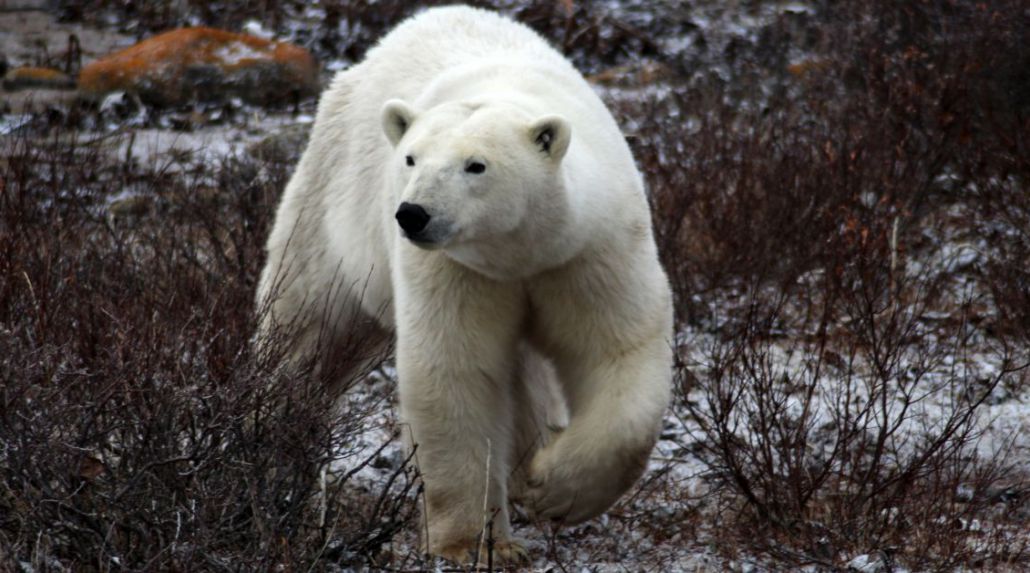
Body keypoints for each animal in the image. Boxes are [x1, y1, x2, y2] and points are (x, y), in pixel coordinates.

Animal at [256, 4, 671, 564]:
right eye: (411, 158)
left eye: (476, 165)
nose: (413, 213)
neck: (517, 255)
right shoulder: (455, 270)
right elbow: (456, 370)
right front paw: (475, 543)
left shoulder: (588, 249)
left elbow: (617, 349)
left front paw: (553, 490)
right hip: (332, 209)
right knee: (307, 328)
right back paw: (271, 439)